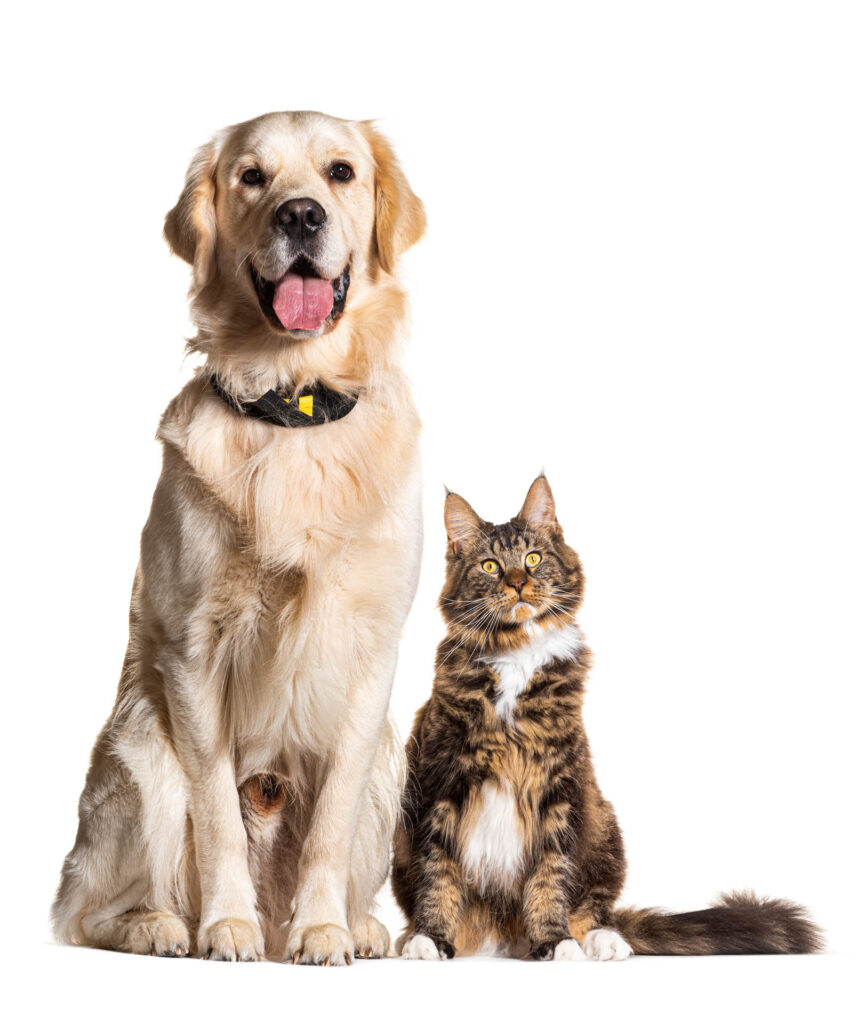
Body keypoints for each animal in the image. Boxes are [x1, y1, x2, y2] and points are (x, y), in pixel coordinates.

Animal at [52, 112, 425, 966]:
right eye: (252, 177)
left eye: (341, 171)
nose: (301, 215)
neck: (296, 405)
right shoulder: (193, 648)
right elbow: (217, 810)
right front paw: (228, 925)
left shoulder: (372, 651)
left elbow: (330, 823)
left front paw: (323, 931)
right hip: (141, 749)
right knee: (83, 911)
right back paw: (162, 926)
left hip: (392, 761)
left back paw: (358, 928)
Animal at [393, 477, 818, 958]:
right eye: (490, 566)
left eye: (533, 558)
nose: (518, 582)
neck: (516, 656)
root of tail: (503, 939)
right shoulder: (441, 782)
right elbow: (439, 872)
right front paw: (430, 938)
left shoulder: (558, 787)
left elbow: (550, 875)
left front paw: (554, 941)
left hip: (603, 826)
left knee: (597, 911)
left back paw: (604, 941)